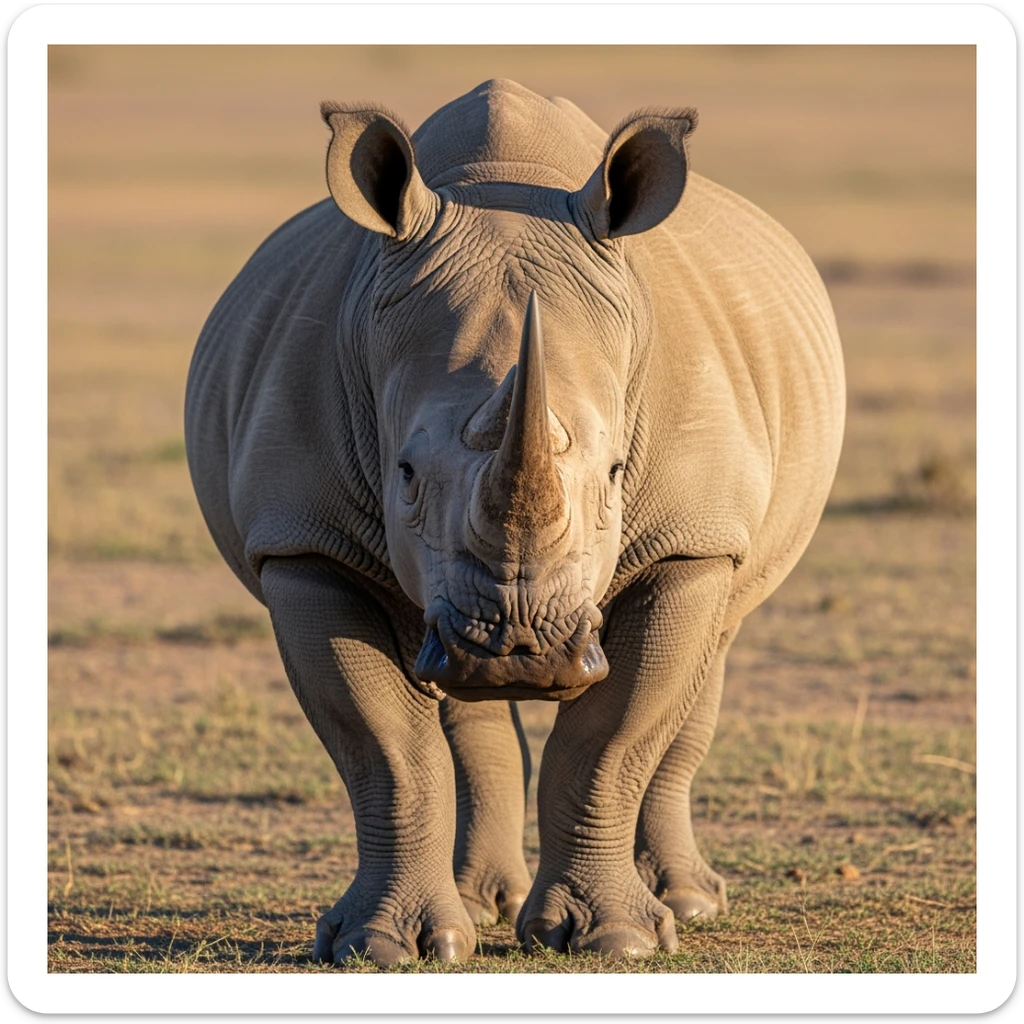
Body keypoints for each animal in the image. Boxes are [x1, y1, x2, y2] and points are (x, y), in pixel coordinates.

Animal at [185, 79, 844, 963]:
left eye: (616, 474)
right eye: (404, 475)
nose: (518, 648)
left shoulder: (691, 540)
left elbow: (611, 737)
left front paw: (619, 943)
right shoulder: (303, 543)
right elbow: (385, 746)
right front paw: (381, 948)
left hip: (727, 522)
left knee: (713, 647)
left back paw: (688, 903)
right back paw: (478, 904)